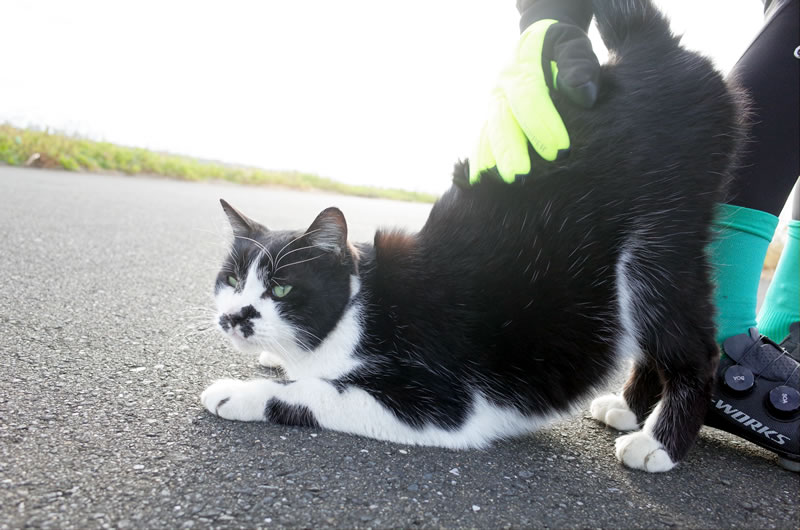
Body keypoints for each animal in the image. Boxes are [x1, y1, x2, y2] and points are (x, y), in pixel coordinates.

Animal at [198, 0, 744, 470]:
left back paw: (659, 443)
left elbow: (310, 393)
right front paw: (274, 358)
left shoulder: (436, 403)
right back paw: (629, 408)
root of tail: (648, 45)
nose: (233, 316)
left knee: (694, 345)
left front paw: (238, 392)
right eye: (232, 281)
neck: (357, 308)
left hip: (656, 243)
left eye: (281, 288)